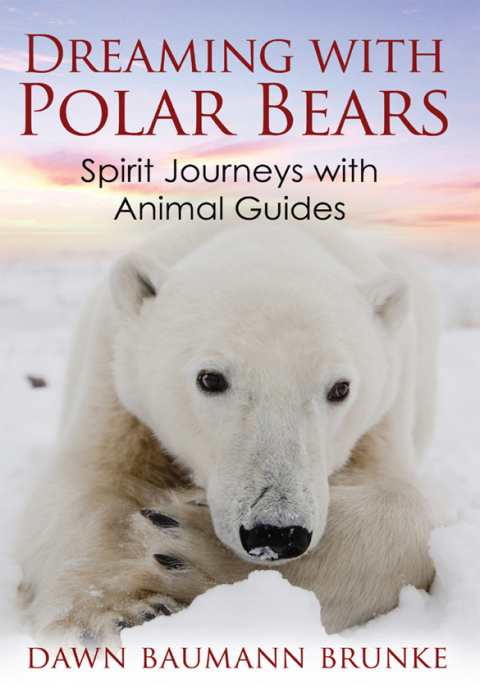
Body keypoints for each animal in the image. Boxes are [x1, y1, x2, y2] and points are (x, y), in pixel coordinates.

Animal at [15, 223, 441, 646]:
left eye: (341, 388)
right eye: (210, 379)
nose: (275, 532)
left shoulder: (386, 409)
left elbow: (404, 506)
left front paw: (185, 548)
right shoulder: (115, 377)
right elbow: (84, 484)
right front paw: (111, 614)